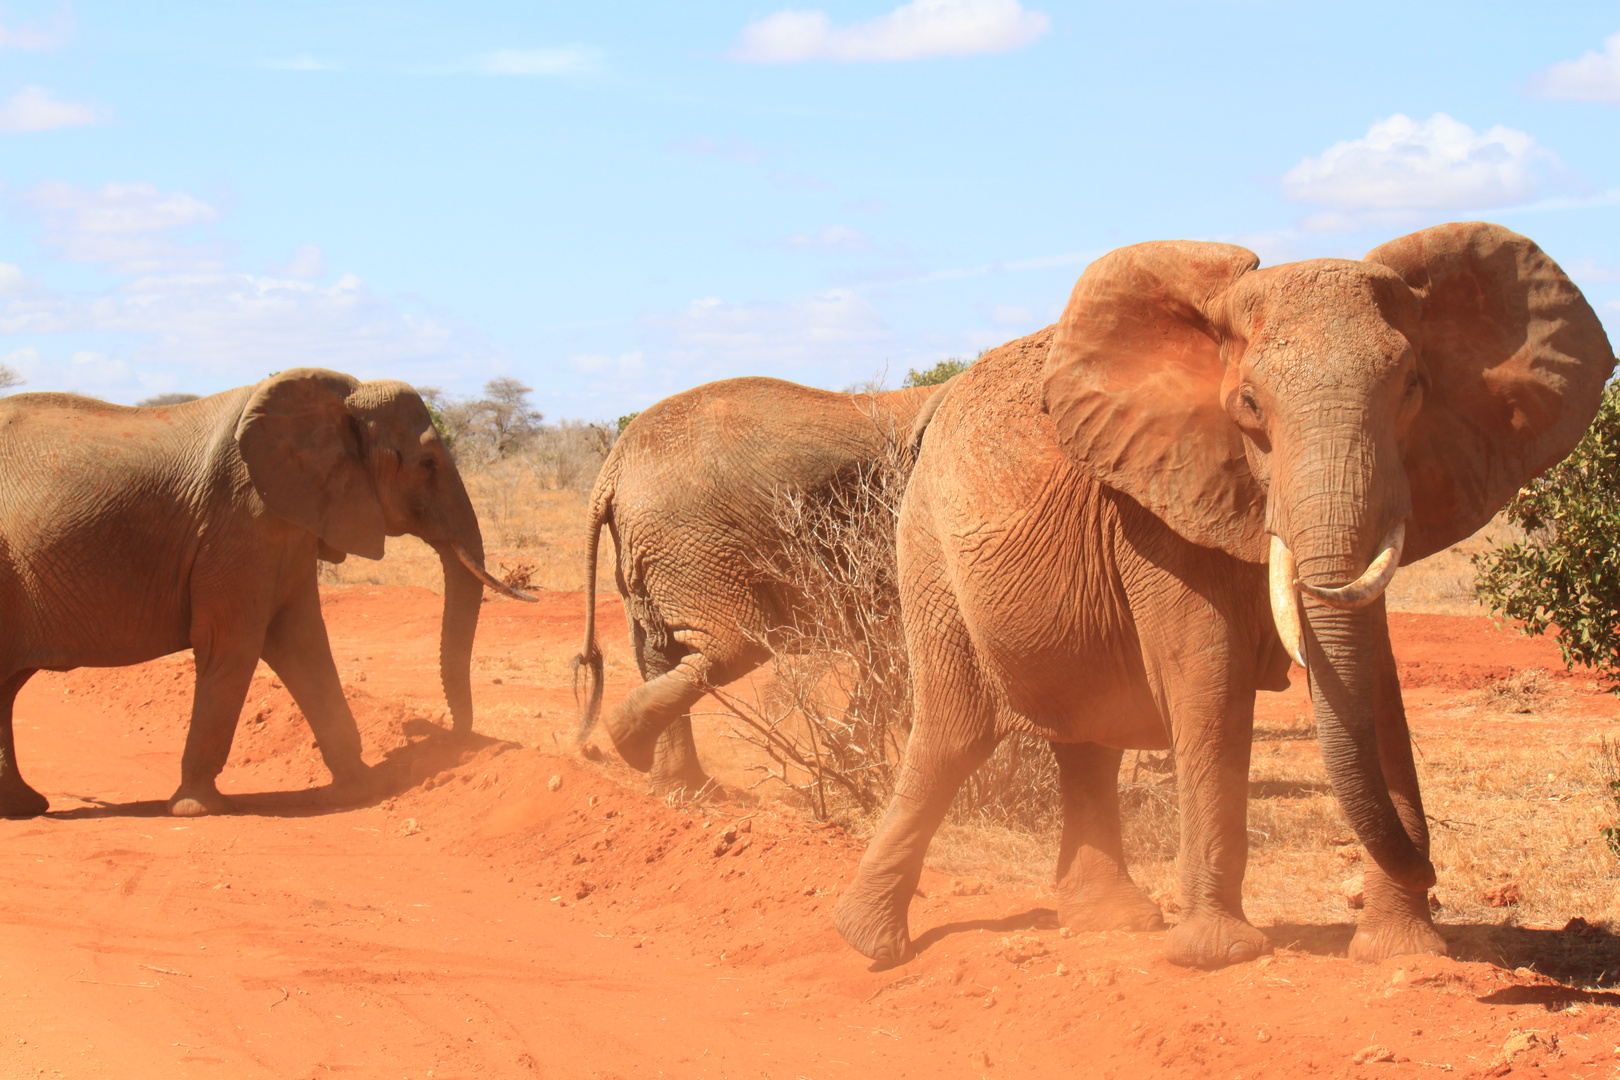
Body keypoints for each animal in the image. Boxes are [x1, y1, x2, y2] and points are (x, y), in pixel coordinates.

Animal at [0, 372, 534, 819]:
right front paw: (199, 809)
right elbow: (234, 643)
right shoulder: (242, 519)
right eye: (426, 464)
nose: (454, 739)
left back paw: (23, 808)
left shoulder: (287, 520)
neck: (341, 398)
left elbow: (301, 641)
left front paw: (363, 790)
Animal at [573, 375, 946, 790]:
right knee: (733, 646)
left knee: (659, 654)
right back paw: (629, 742)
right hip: (692, 544)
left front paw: (849, 765)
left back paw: (677, 781)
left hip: (642, 548)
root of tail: (613, 468)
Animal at [835, 221, 1620, 971]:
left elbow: (1376, 686)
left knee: (1087, 736)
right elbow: (1208, 680)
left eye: (1412, 389)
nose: (1432, 870)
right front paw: (1218, 955)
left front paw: (1406, 952)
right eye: (1248, 404)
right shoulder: (1156, 502)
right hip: (927, 546)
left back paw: (1109, 924)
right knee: (955, 733)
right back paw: (873, 945)